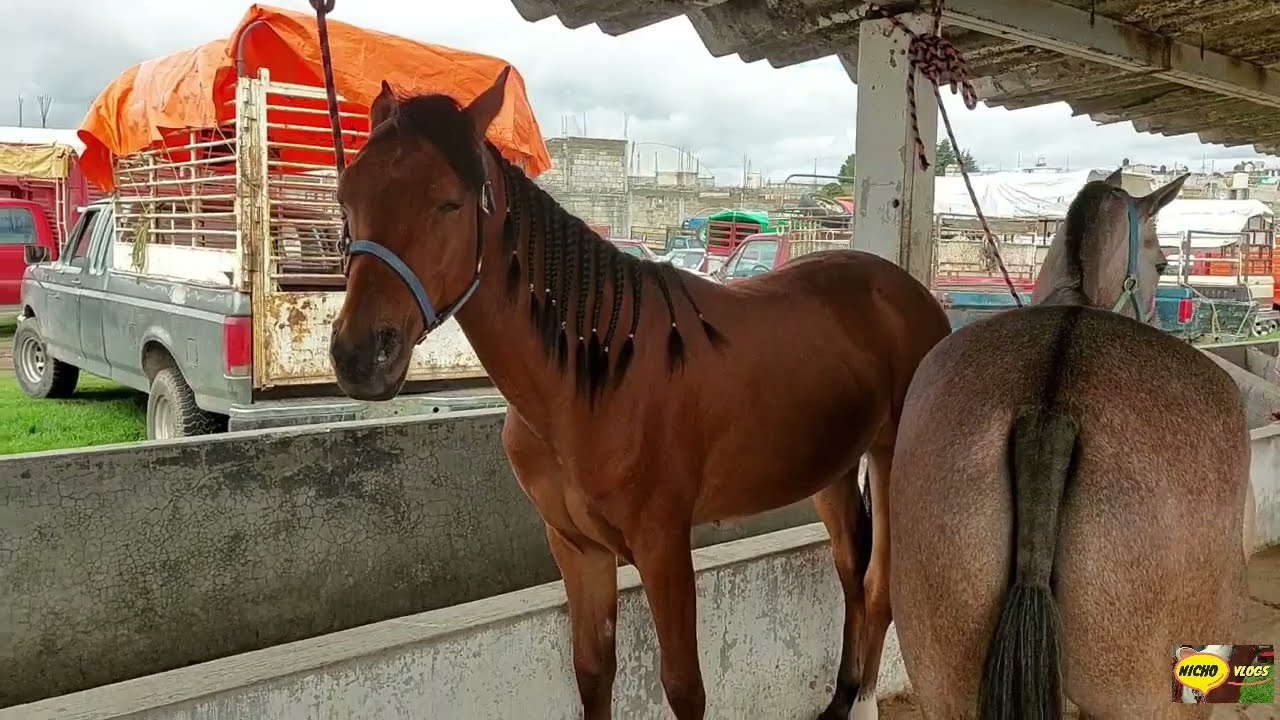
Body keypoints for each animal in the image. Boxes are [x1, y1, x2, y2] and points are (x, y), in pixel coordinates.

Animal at [327, 67, 951, 719]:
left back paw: (865, 701)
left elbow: (683, 686)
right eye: (347, 197)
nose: (361, 355)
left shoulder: (662, 548)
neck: (593, 376)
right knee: (851, 569)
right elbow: (593, 671)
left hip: (888, 459)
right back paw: (841, 698)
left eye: (449, 203)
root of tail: (910, 293)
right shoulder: (578, 549)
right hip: (829, 469)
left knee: (878, 587)